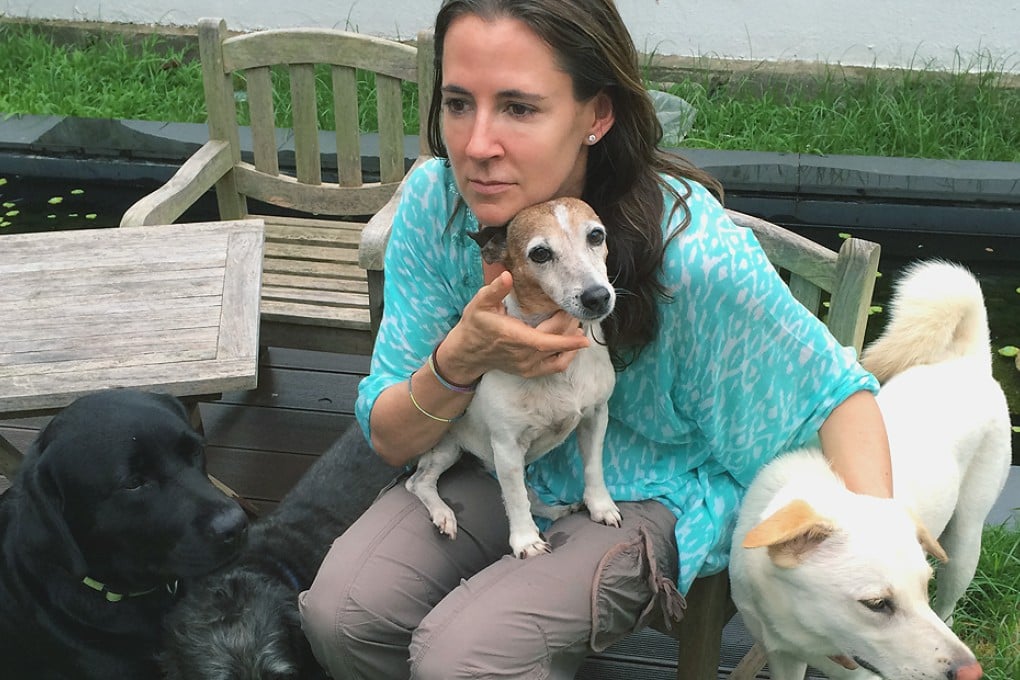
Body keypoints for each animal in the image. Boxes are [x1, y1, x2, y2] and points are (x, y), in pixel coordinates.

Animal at [405, 196, 620, 558]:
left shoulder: (595, 417)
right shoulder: (506, 446)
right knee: (419, 482)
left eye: (596, 235)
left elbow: (593, 468)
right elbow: (516, 499)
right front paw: (525, 540)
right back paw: (443, 514)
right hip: (447, 449)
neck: (560, 367)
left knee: (530, 493)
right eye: (540, 253)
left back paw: (554, 510)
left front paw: (600, 506)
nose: (597, 297)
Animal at [730, 260, 1007, 680]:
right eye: (877, 604)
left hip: (964, 545)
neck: (810, 634)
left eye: (923, 587)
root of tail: (966, 360)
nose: (970, 672)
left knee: (950, 605)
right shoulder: (783, 655)